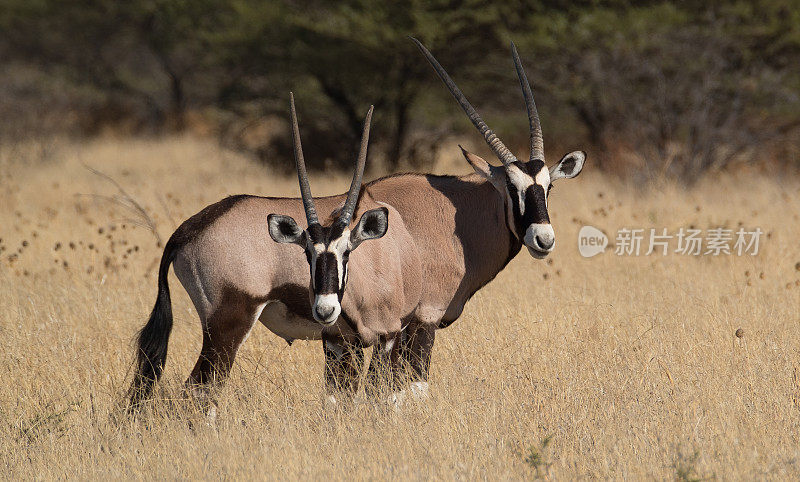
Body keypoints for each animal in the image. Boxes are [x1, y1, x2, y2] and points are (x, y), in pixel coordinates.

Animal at [127, 96, 422, 412]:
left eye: (346, 252)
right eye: (307, 253)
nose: (325, 310)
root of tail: (189, 228)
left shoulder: (355, 339)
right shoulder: (369, 337)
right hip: (226, 325)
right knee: (201, 389)